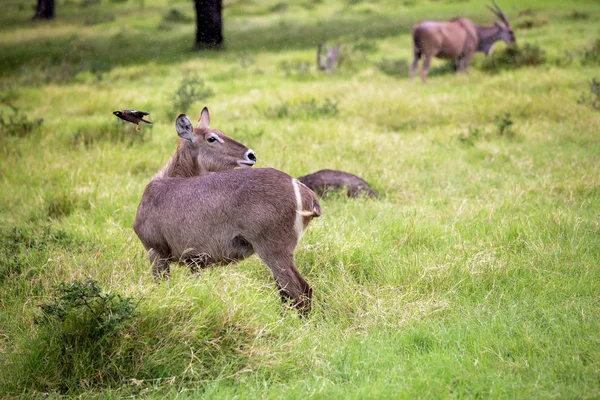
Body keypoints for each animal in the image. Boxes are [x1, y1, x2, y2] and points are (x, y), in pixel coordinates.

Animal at [134, 108, 322, 312]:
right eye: (212, 138)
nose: (251, 155)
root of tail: (303, 189)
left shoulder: (156, 252)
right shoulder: (195, 261)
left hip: (273, 249)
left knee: (301, 291)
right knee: (287, 293)